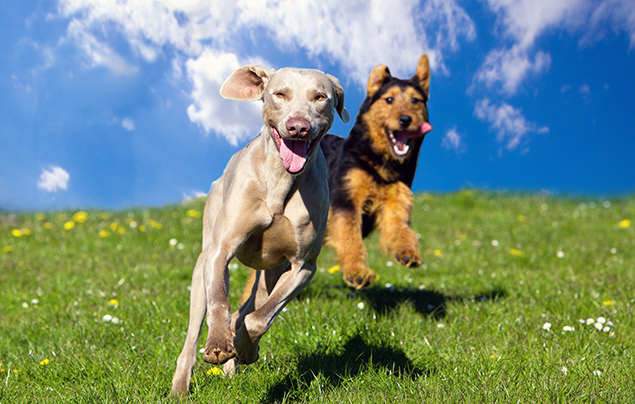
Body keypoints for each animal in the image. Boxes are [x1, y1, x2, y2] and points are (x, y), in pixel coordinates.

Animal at [320, 54, 434, 288]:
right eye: (389, 99)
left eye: (416, 100)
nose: (405, 119)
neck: (381, 163)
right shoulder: (346, 200)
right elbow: (350, 237)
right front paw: (357, 272)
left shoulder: (396, 203)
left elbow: (402, 230)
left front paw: (407, 253)